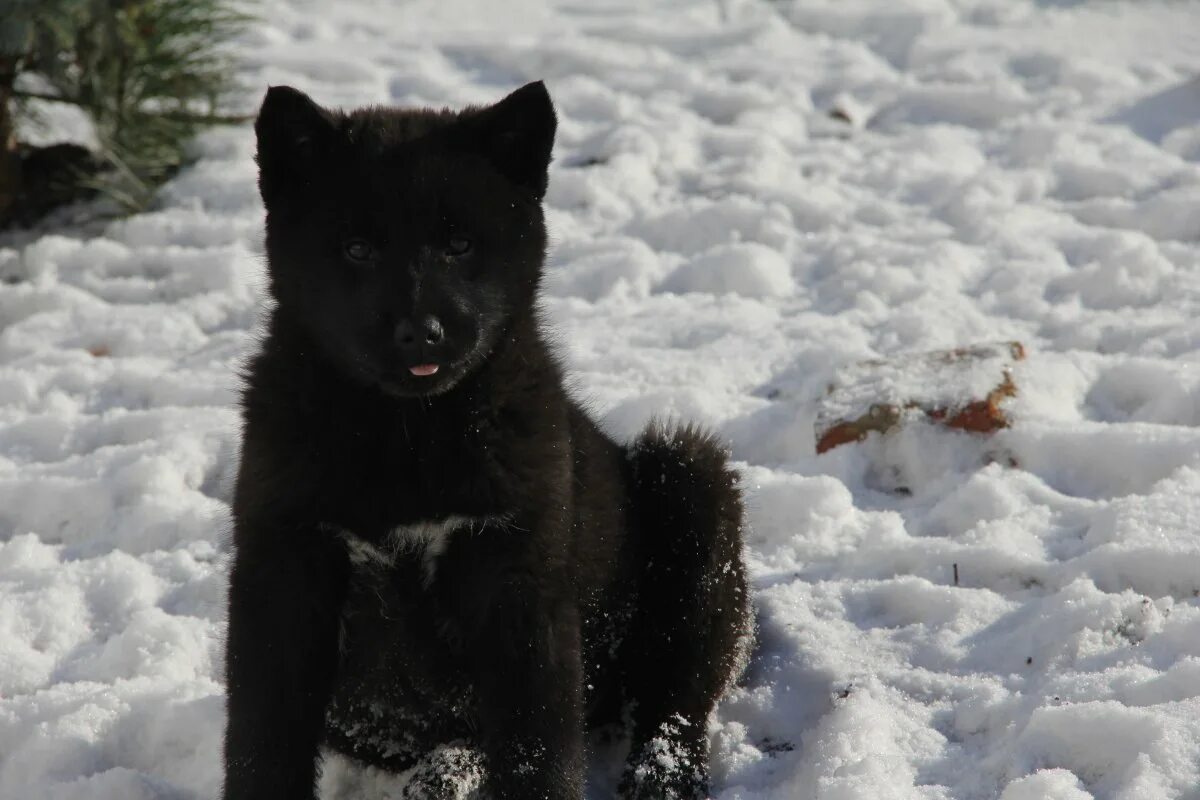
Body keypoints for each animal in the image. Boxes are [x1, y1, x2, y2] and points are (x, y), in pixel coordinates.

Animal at [223, 81, 748, 800]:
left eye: (460, 244)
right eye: (357, 249)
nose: (422, 331)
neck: (408, 435)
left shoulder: (519, 585)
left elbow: (537, 750)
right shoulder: (282, 570)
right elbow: (261, 741)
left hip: (693, 486)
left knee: (681, 697)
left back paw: (662, 778)